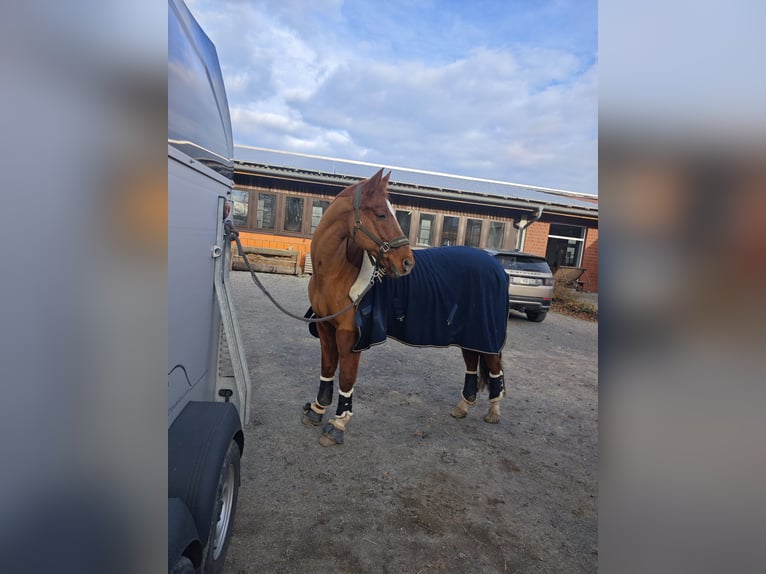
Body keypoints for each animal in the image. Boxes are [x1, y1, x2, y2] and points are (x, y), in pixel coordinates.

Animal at [303, 168, 509, 447]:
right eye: (381, 213)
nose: (407, 262)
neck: (335, 272)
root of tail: (497, 267)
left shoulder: (350, 335)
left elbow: (346, 377)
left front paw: (337, 425)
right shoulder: (325, 327)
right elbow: (327, 369)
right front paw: (316, 410)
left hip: (486, 334)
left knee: (494, 366)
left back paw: (494, 411)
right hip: (470, 334)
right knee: (471, 363)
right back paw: (463, 406)